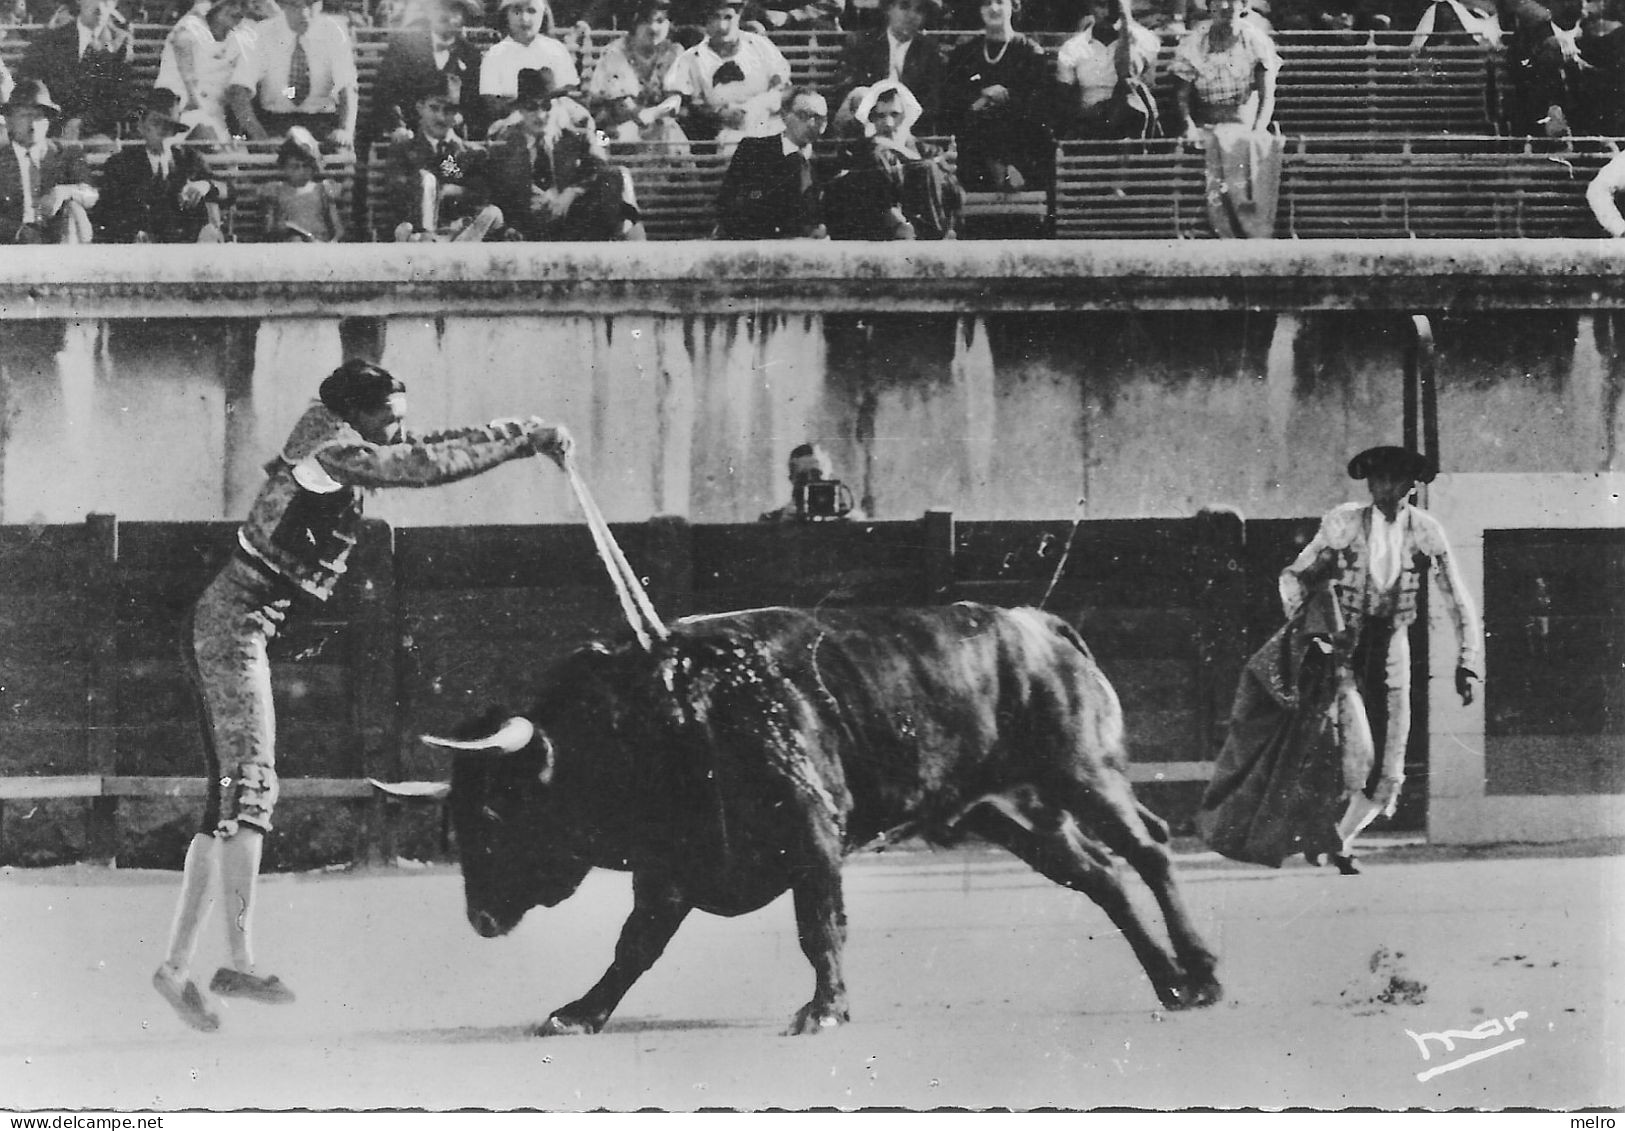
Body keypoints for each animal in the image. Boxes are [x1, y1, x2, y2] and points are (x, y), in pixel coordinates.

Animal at [425, 604, 1222, 1040]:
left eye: (494, 810)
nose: (479, 919)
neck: (664, 713)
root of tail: (1036, 623)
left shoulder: (811, 833)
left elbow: (820, 927)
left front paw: (824, 1010)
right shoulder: (670, 870)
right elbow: (633, 948)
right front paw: (580, 1013)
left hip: (1082, 772)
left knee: (1148, 849)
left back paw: (1203, 975)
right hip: (1015, 811)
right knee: (1101, 877)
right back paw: (1170, 984)